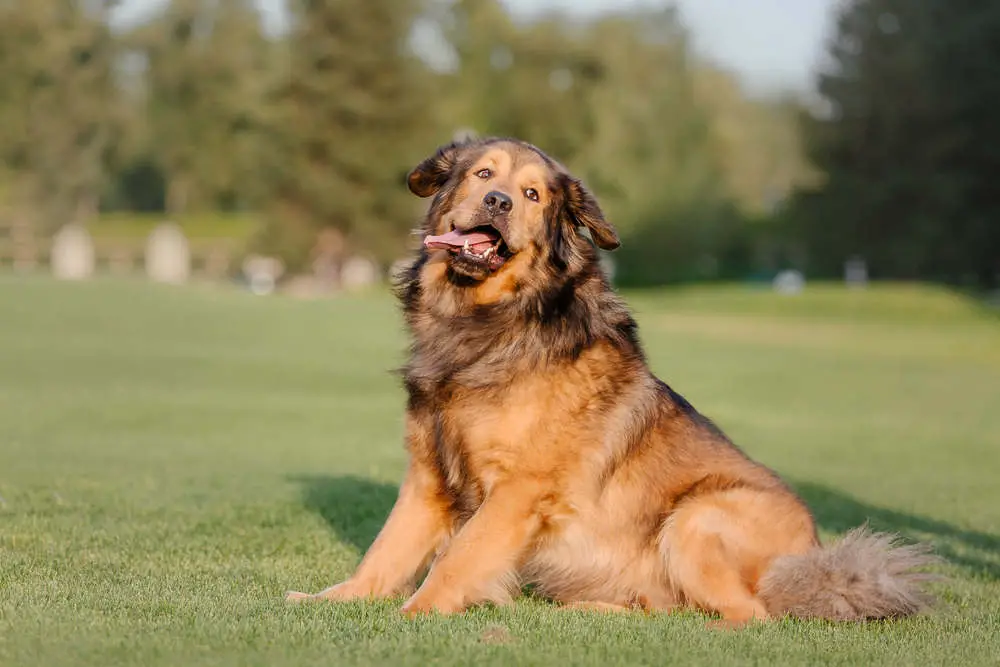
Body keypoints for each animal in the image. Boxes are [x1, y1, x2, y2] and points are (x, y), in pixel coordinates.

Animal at [286, 134, 940, 628]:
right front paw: (330, 600)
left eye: (531, 195)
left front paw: (415, 615)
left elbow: (457, 558)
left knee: (748, 617)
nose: (497, 201)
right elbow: (384, 552)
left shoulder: (518, 489)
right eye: (481, 174)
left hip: (696, 518)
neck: (492, 321)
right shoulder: (428, 477)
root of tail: (815, 558)